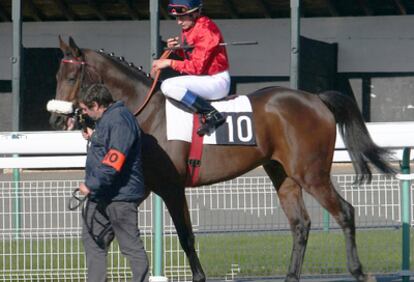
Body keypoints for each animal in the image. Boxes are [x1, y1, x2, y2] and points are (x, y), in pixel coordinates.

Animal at [51, 36, 394, 280]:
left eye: (71, 77)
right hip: (282, 174)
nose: (55, 119)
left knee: (345, 212)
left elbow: (186, 236)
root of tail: (316, 98)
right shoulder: (144, 185)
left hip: (311, 173)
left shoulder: (171, 187)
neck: (145, 111)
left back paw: (359, 271)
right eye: (57, 74)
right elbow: (107, 233)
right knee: (300, 224)